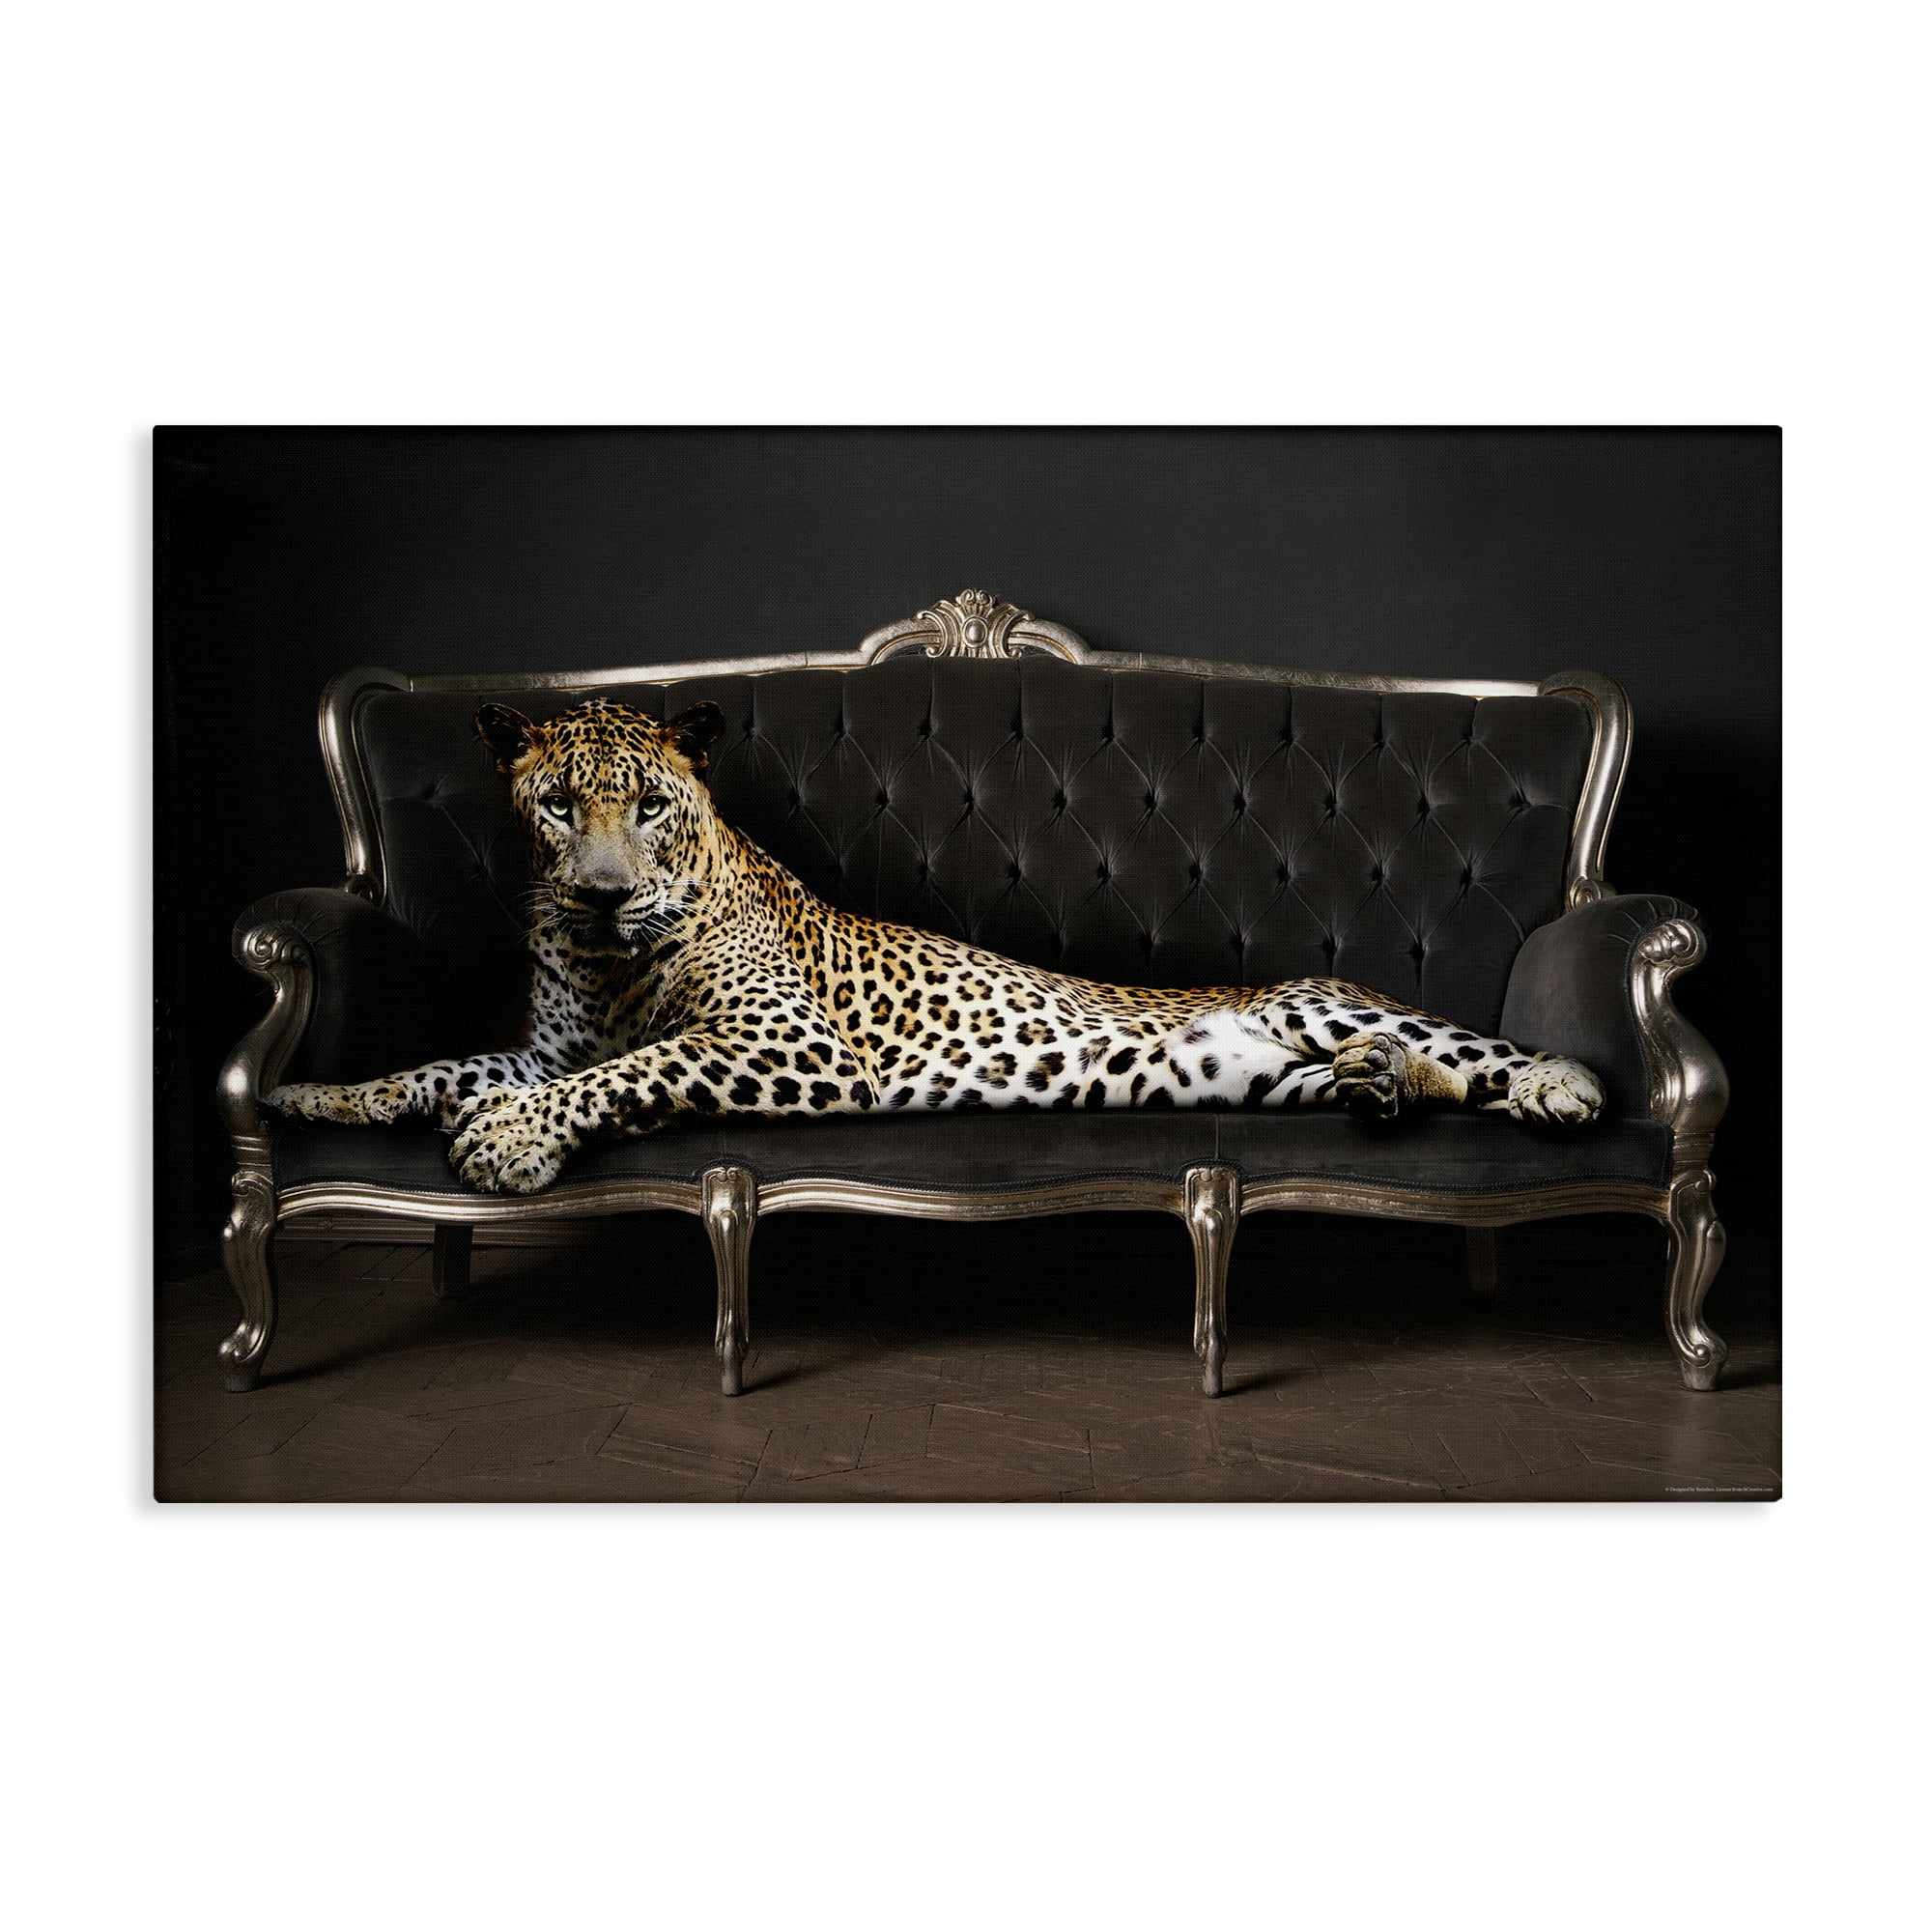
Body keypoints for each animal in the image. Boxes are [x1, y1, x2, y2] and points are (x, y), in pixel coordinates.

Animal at [267, 696, 1606, 1194]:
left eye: (648, 805)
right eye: (556, 806)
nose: (599, 894)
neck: (609, 961)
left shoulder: (790, 1043)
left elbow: (639, 1068)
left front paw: (505, 1141)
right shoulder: (545, 1046)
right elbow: (441, 1064)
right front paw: (320, 1097)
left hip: (1324, 1002)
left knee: (1473, 1053)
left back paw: (1551, 1084)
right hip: (1255, 1071)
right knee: (1390, 1078)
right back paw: (1382, 1089)